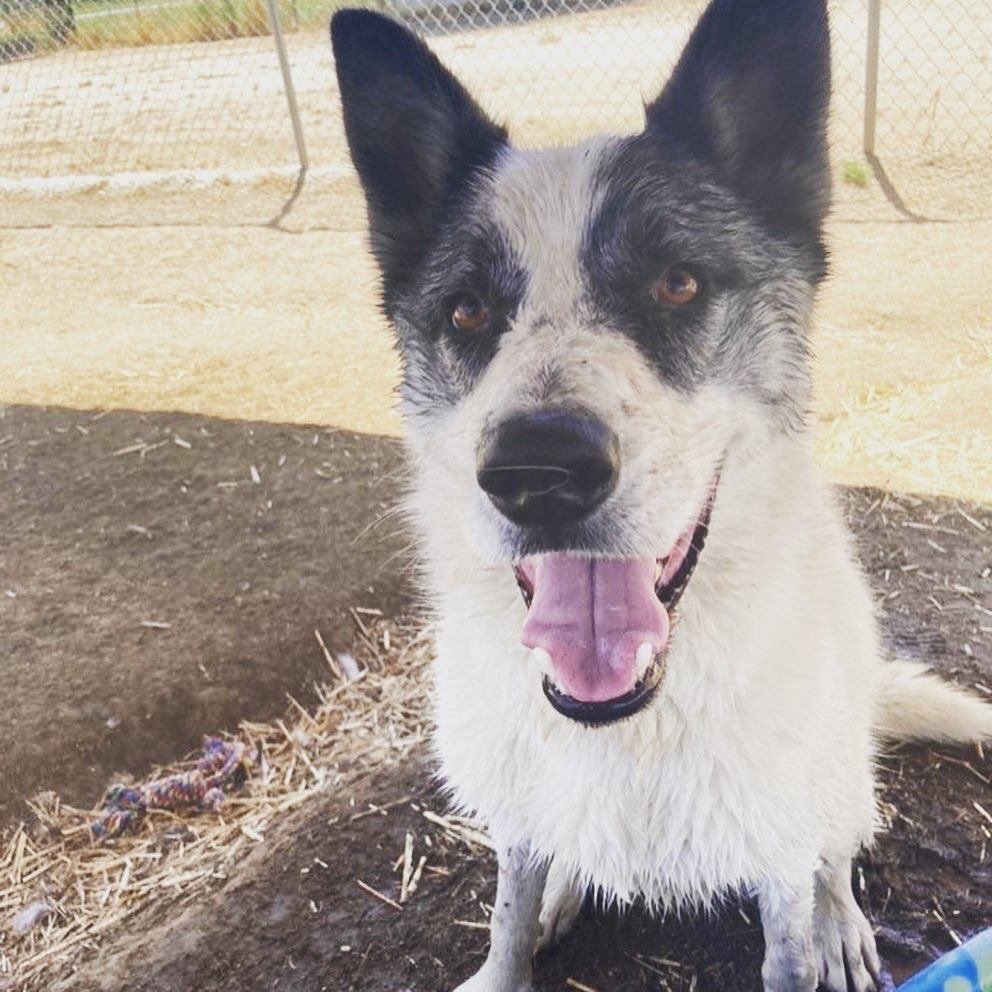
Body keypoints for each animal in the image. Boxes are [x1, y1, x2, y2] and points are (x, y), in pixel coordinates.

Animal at [332, 3, 992, 988]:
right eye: (468, 312)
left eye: (676, 283)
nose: (537, 472)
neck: (626, 719)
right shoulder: (520, 820)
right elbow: (507, 911)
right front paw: (515, 947)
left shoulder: (778, 844)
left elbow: (791, 935)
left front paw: (819, 937)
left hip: (839, 767)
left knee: (837, 850)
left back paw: (840, 920)